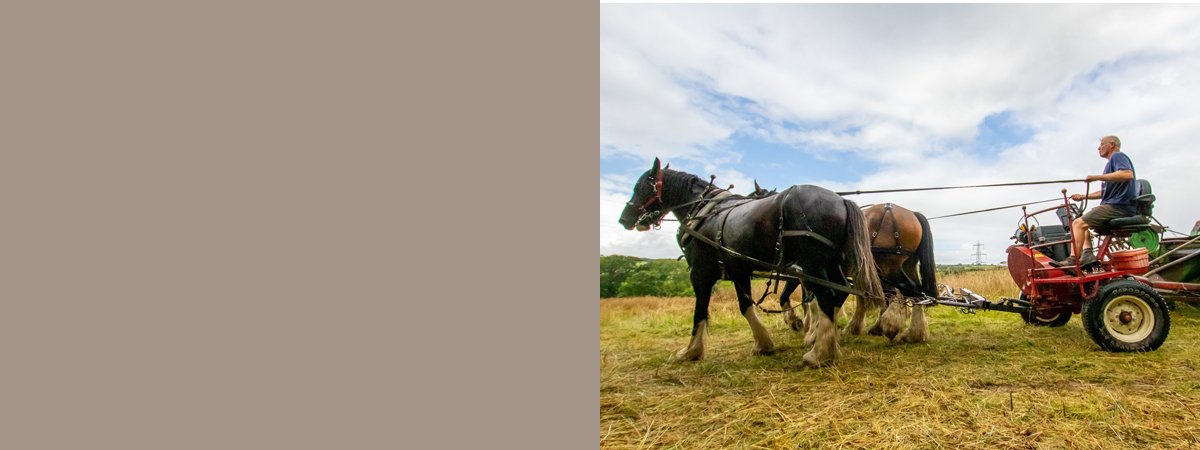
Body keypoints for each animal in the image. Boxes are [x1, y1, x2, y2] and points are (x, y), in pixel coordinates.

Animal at [617, 158, 884, 367]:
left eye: (641, 186)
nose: (623, 219)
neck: (703, 212)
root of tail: (841, 201)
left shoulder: (700, 273)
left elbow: (700, 311)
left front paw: (691, 351)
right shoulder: (739, 271)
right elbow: (746, 306)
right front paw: (764, 343)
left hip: (813, 265)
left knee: (828, 297)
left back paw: (818, 354)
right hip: (829, 264)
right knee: (841, 293)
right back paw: (827, 341)